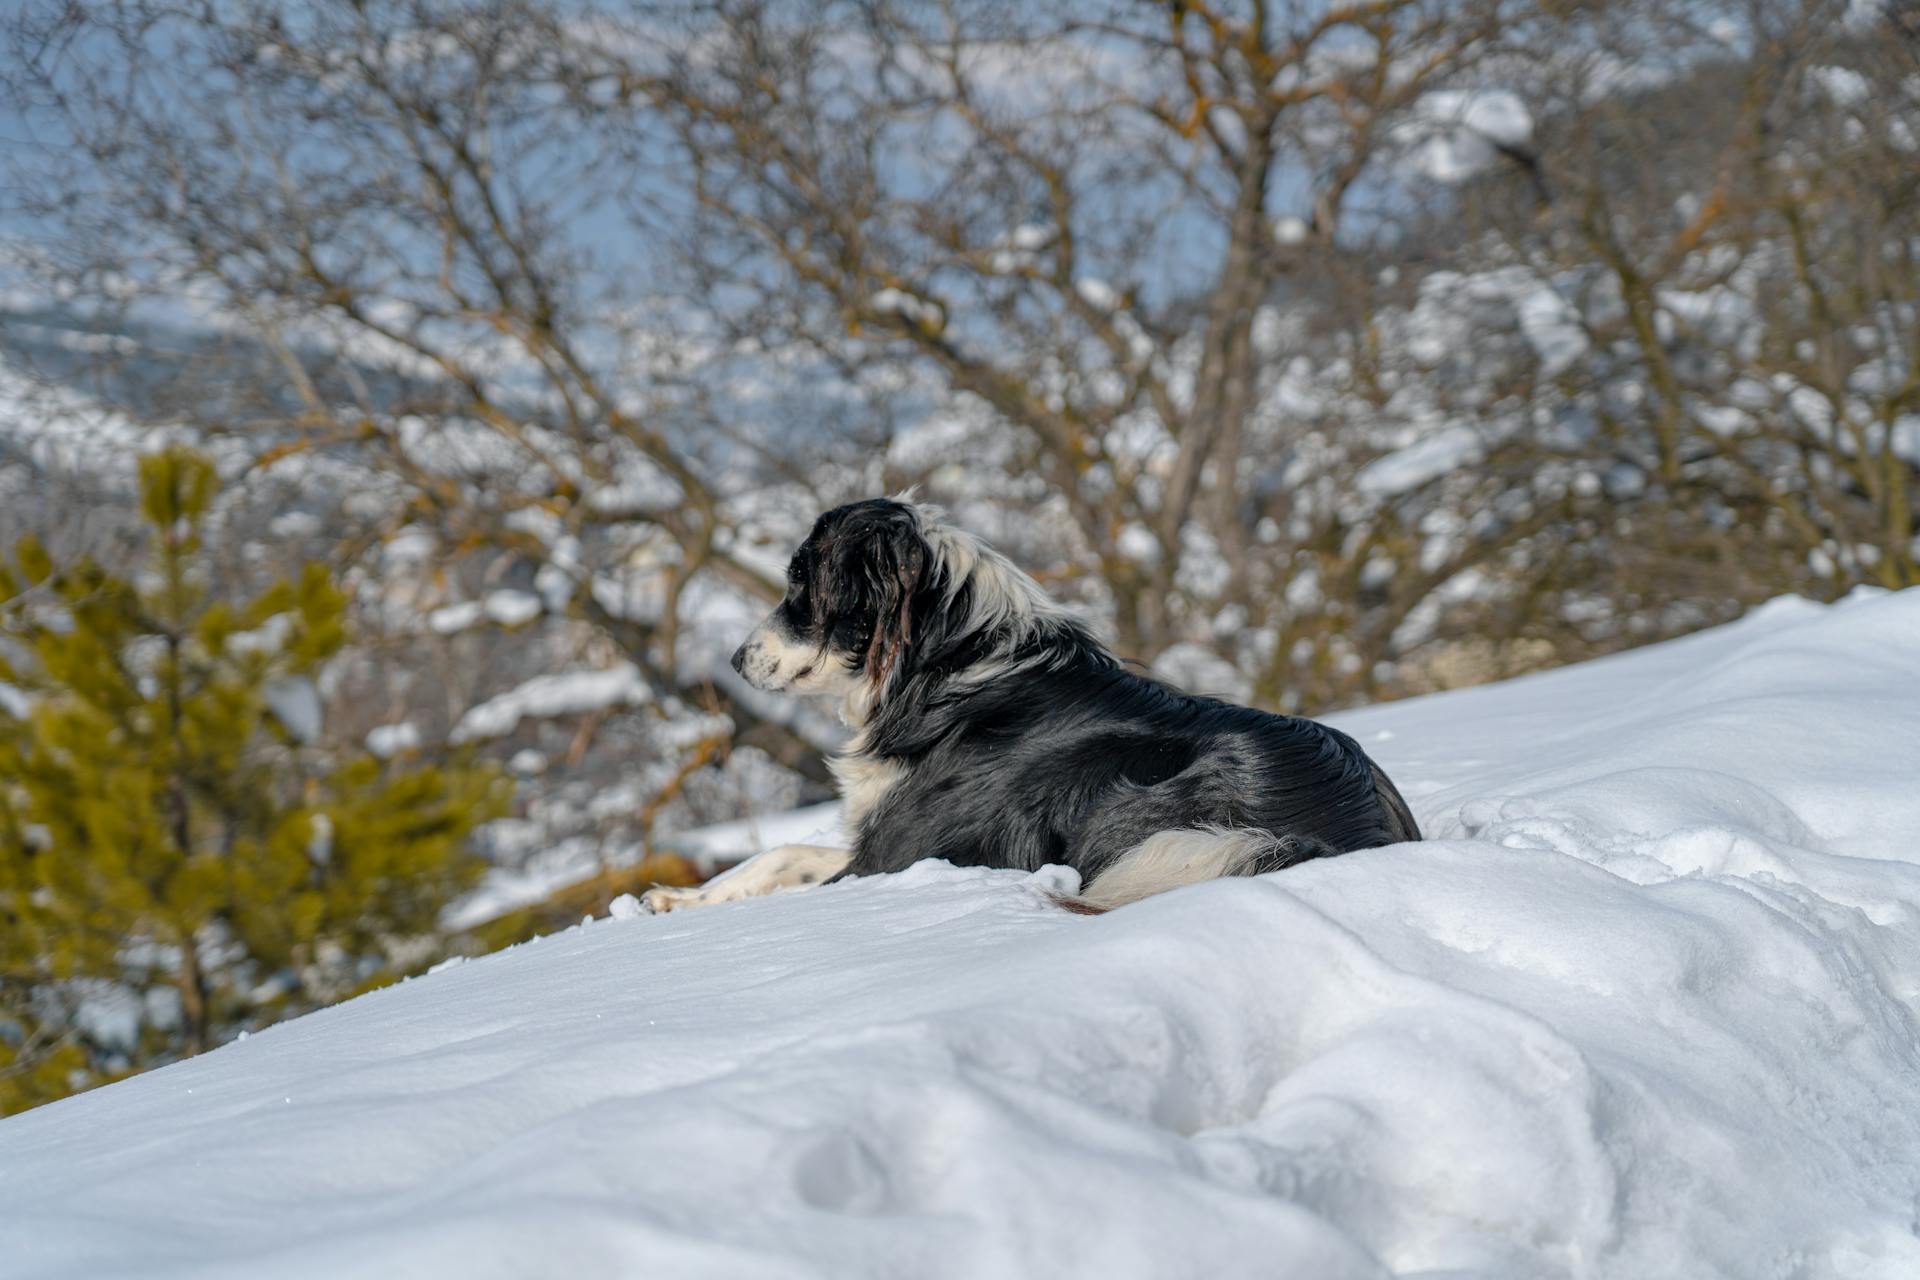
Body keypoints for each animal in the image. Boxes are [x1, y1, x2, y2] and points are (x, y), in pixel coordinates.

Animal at [645, 495, 1428, 917]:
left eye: (800, 585)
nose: (734, 660)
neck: (945, 670)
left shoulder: (892, 858)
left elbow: (785, 861)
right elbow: (778, 856)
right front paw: (677, 901)